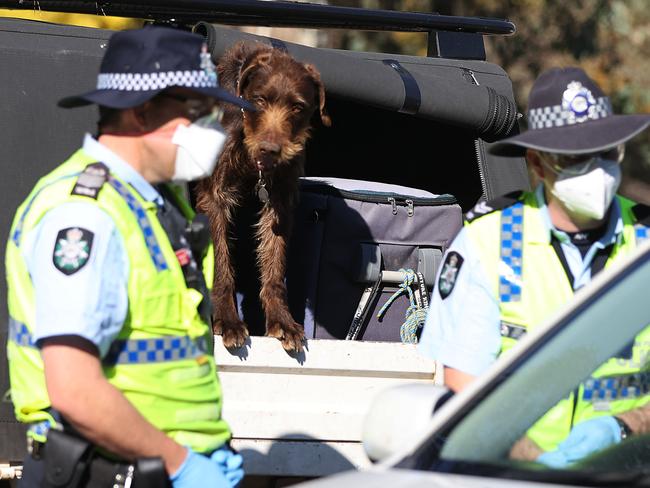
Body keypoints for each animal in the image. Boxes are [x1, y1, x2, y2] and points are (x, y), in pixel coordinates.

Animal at [195, 42, 330, 350]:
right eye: (259, 100)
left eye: (297, 107)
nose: (270, 149)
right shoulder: (213, 198)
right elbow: (221, 264)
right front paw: (227, 320)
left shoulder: (279, 203)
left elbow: (275, 265)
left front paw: (282, 321)